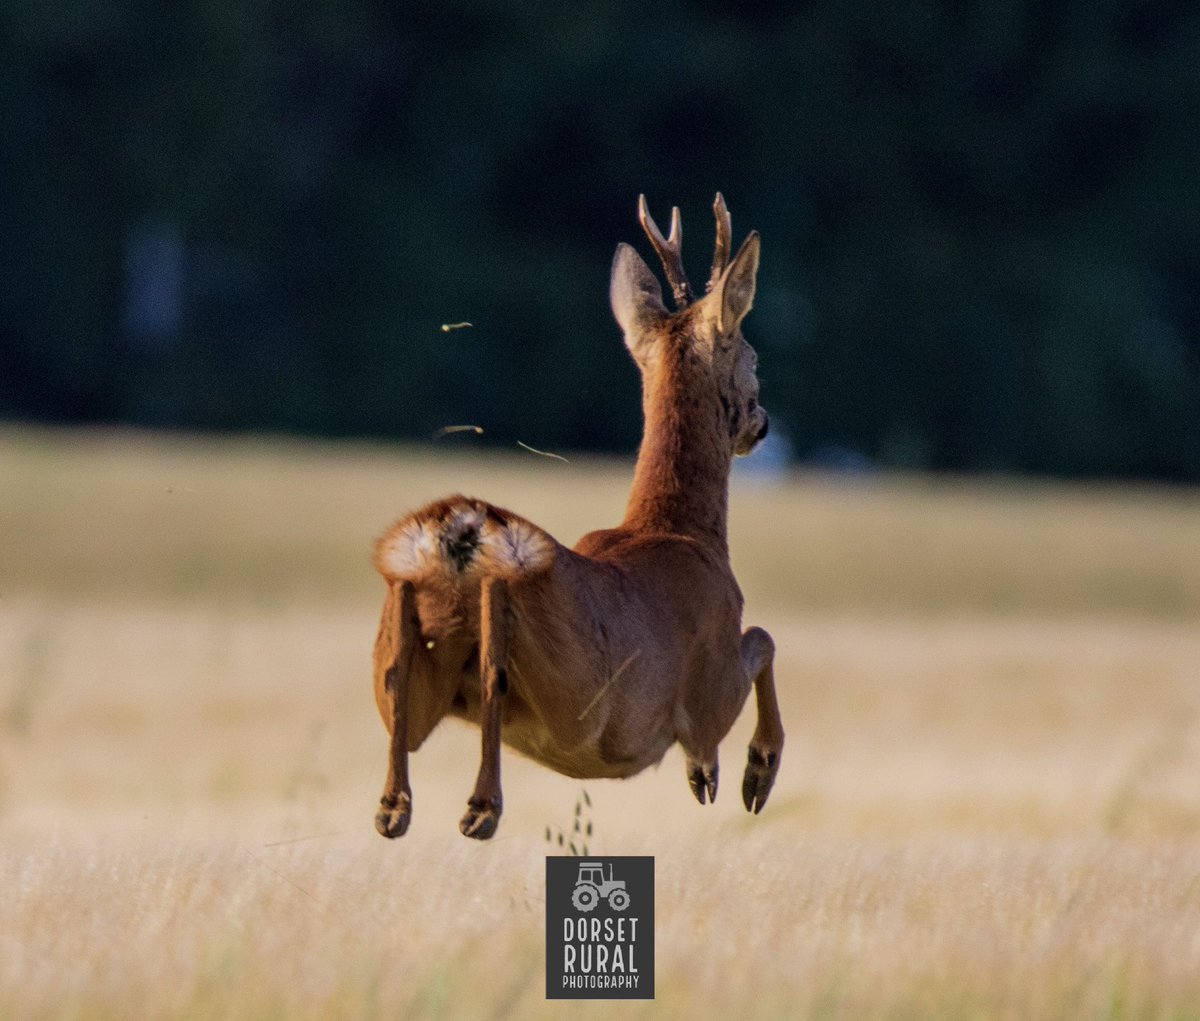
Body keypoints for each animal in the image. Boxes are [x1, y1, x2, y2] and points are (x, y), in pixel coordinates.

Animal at [371, 193, 784, 840]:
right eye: (752, 357)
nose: (762, 423)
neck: (680, 529)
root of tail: (457, 533)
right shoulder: (707, 698)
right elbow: (764, 640)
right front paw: (743, 776)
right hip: (574, 694)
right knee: (493, 666)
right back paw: (481, 807)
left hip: (414, 653)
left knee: (400, 683)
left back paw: (396, 807)